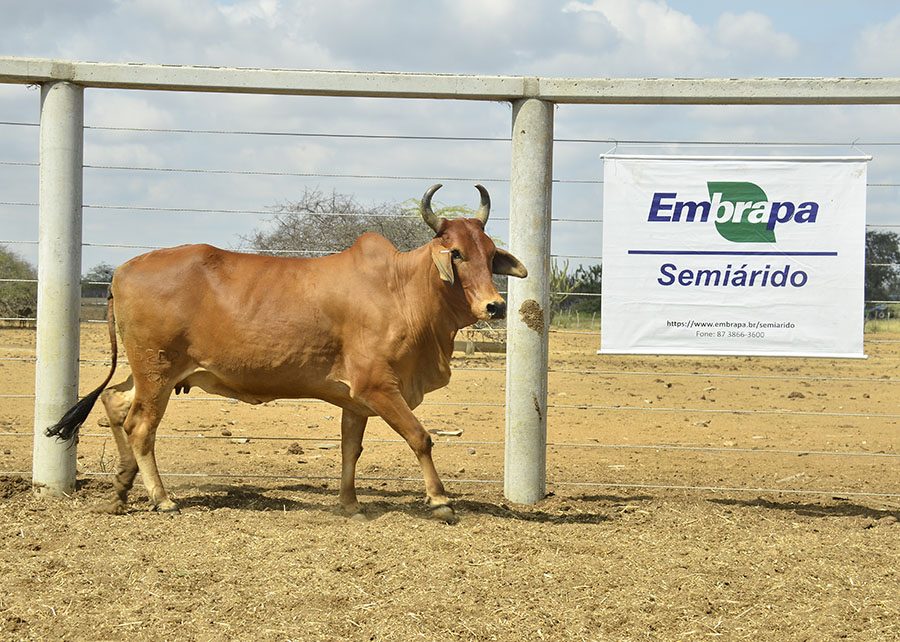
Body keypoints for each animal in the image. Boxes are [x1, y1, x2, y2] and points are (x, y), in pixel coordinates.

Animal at [46, 184, 527, 523]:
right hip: (158, 370)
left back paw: (122, 489)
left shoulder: (355, 398)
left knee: (114, 403)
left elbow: (350, 449)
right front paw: (440, 500)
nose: (494, 306)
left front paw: (350, 503)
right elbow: (420, 437)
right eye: (456, 254)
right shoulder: (378, 386)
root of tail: (121, 271)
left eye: (489, 254)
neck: (401, 289)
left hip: (153, 373)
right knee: (140, 426)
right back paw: (162, 499)